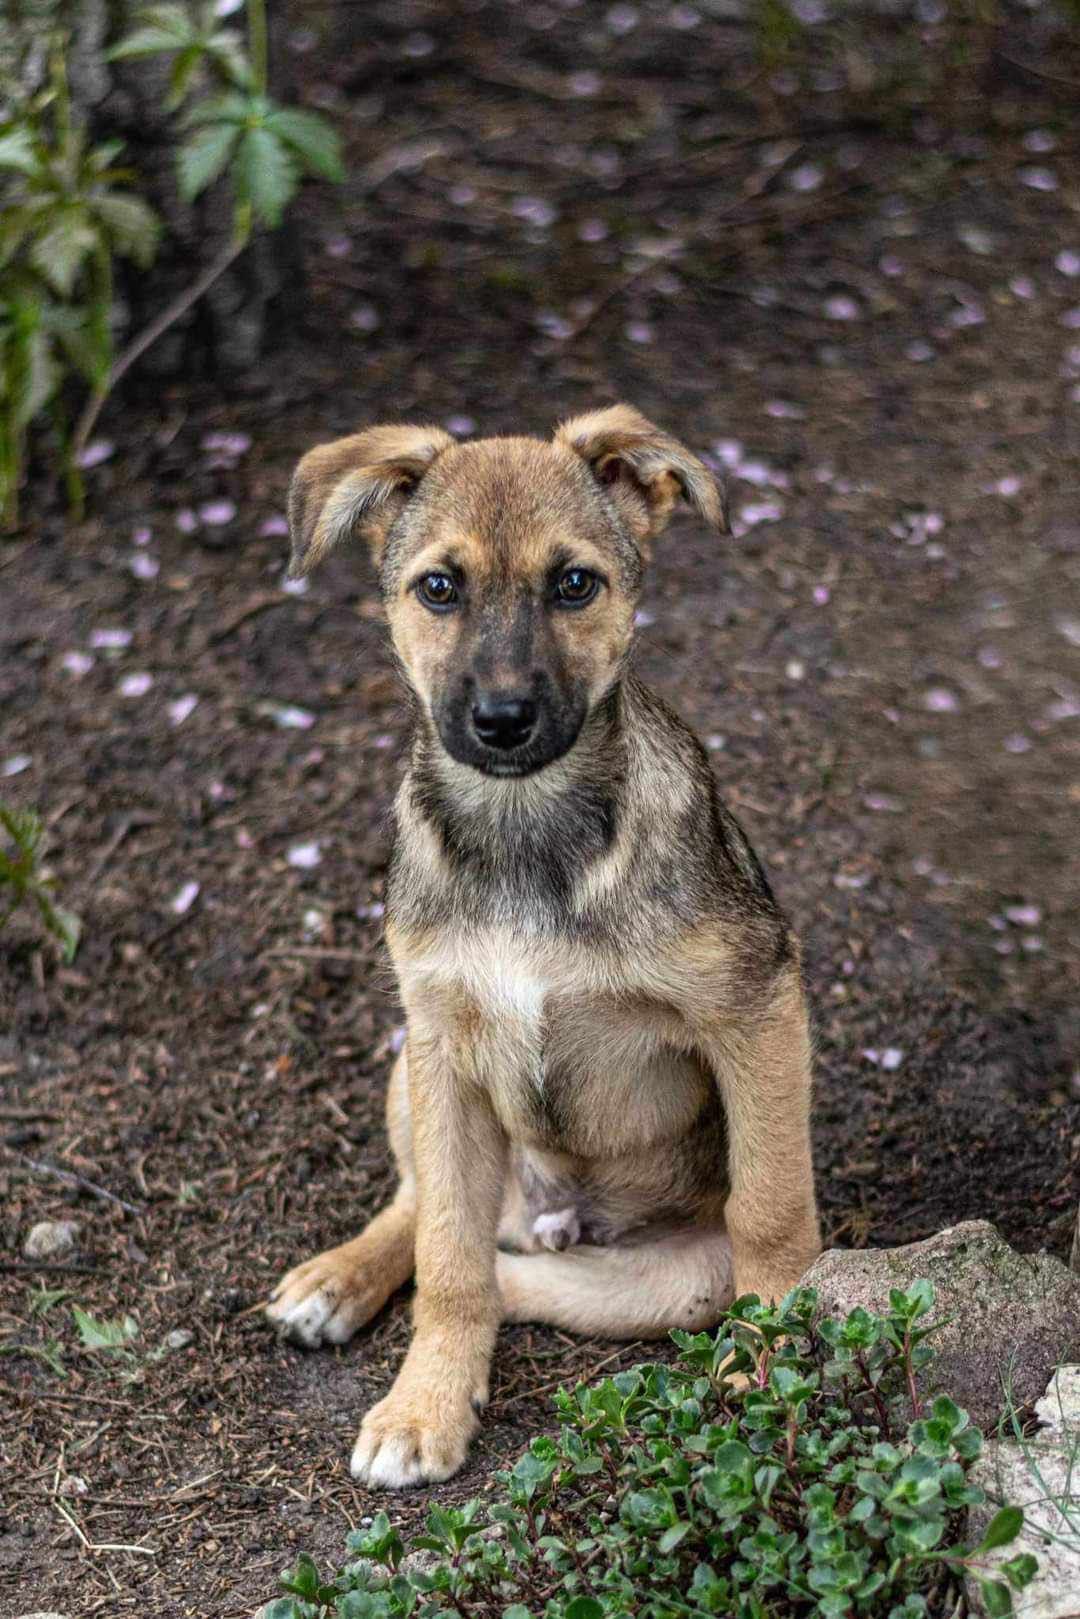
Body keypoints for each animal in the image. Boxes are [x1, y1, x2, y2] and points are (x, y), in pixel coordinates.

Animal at [263, 407, 819, 1489]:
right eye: (439, 587)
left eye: (575, 583)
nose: (503, 720)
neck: (525, 829)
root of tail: (558, 1214)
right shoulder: (442, 1040)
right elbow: (444, 1253)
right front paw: (424, 1407)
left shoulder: (757, 1007)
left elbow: (773, 1208)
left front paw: (779, 1355)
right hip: (411, 1065)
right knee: (439, 1221)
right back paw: (340, 1281)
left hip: (676, 1278)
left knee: (518, 1271)